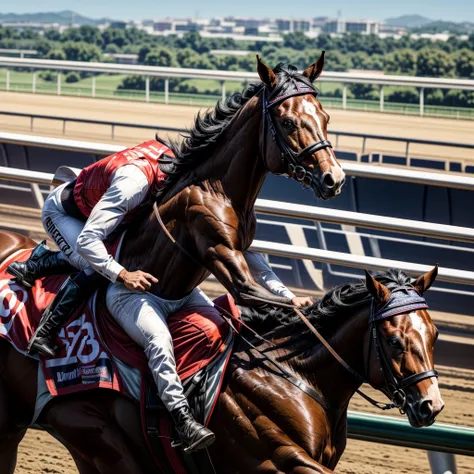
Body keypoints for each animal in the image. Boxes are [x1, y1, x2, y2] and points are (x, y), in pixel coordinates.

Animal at [0, 231, 444, 472]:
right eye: (394, 340)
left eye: (435, 334)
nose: (431, 405)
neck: (293, 375)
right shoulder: (276, 458)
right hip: (97, 435)